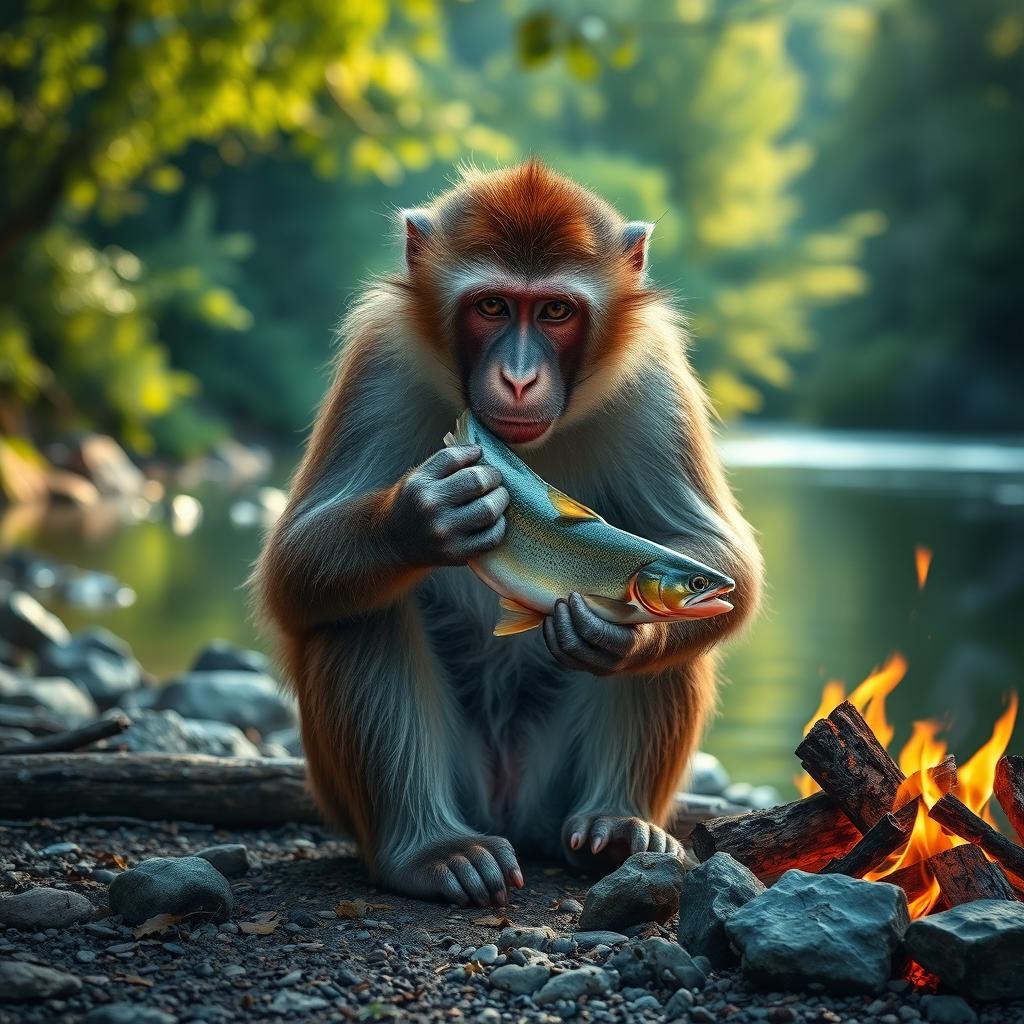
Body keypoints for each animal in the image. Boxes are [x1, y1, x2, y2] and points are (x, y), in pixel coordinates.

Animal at [254, 160, 762, 907]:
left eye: (554, 311)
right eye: (493, 306)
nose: (518, 379)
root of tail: (508, 807)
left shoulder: (656, 378)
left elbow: (716, 549)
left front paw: (625, 635)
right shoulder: (378, 361)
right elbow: (291, 566)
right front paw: (419, 520)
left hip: (551, 791)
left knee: (682, 650)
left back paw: (617, 828)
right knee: (357, 610)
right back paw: (431, 850)